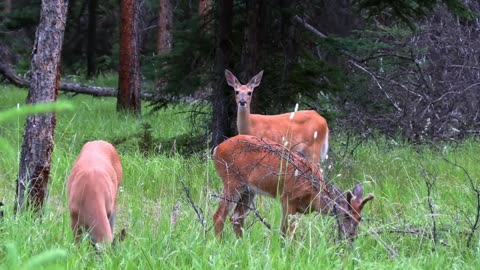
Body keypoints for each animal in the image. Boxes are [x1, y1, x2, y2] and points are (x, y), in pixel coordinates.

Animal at [212, 135, 374, 240]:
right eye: (346, 215)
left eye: (360, 218)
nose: (352, 236)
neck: (314, 194)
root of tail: (217, 149)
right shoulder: (288, 197)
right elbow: (288, 231)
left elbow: (283, 230)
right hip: (232, 180)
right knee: (219, 215)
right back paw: (219, 243)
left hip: (249, 190)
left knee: (236, 218)